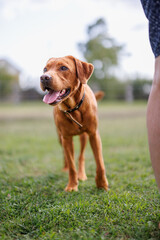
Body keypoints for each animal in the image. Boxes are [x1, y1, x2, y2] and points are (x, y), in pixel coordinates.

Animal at [40, 55, 108, 191]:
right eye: (45, 69)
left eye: (63, 68)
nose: (44, 77)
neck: (73, 108)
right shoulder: (66, 138)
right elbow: (71, 165)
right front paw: (72, 185)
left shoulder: (94, 134)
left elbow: (100, 162)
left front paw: (102, 184)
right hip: (60, 136)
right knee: (66, 155)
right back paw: (66, 168)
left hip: (84, 137)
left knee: (81, 156)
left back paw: (81, 174)